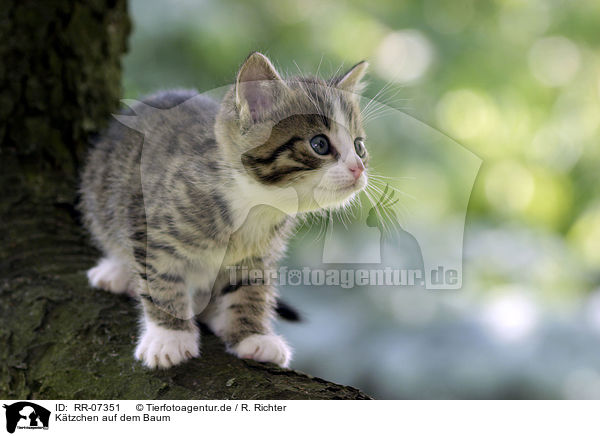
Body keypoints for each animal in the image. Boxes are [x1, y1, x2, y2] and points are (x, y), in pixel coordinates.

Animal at [79, 52, 370, 370]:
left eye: (359, 146)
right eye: (319, 144)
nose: (358, 168)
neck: (254, 205)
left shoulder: (258, 254)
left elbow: (250, 288)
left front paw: (252, 335)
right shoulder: (149, 223)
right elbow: (162, 279)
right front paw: (169, 336)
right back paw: (118, 272)